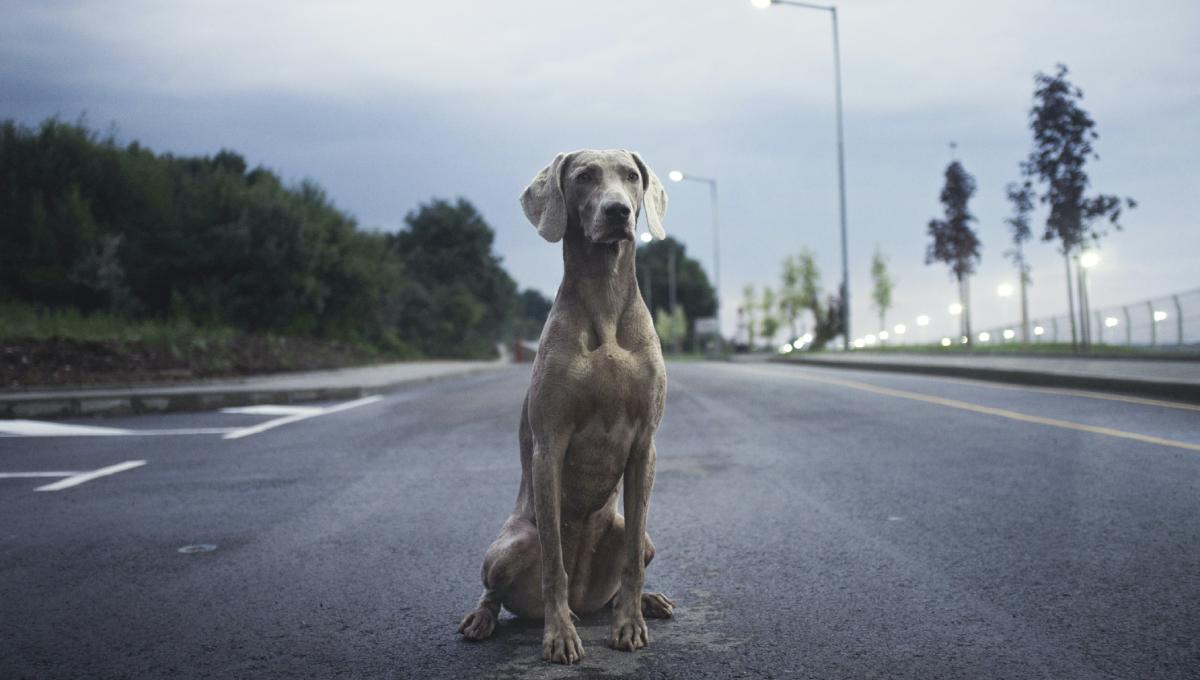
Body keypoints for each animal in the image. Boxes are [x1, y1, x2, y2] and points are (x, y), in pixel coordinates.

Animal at [460, 150, 676, 666]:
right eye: (584, 177)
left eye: (632, 177)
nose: (618, 212)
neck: (605, 301)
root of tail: (584, 599)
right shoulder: (550, 444)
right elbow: (553, 562)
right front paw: (559, 636)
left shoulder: (645, 444)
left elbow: (633, 560)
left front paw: (629, 625)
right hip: (511, 544)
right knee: (496, 589)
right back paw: (483, 619)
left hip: (630, 533)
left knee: (631, 557)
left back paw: (645, 601)